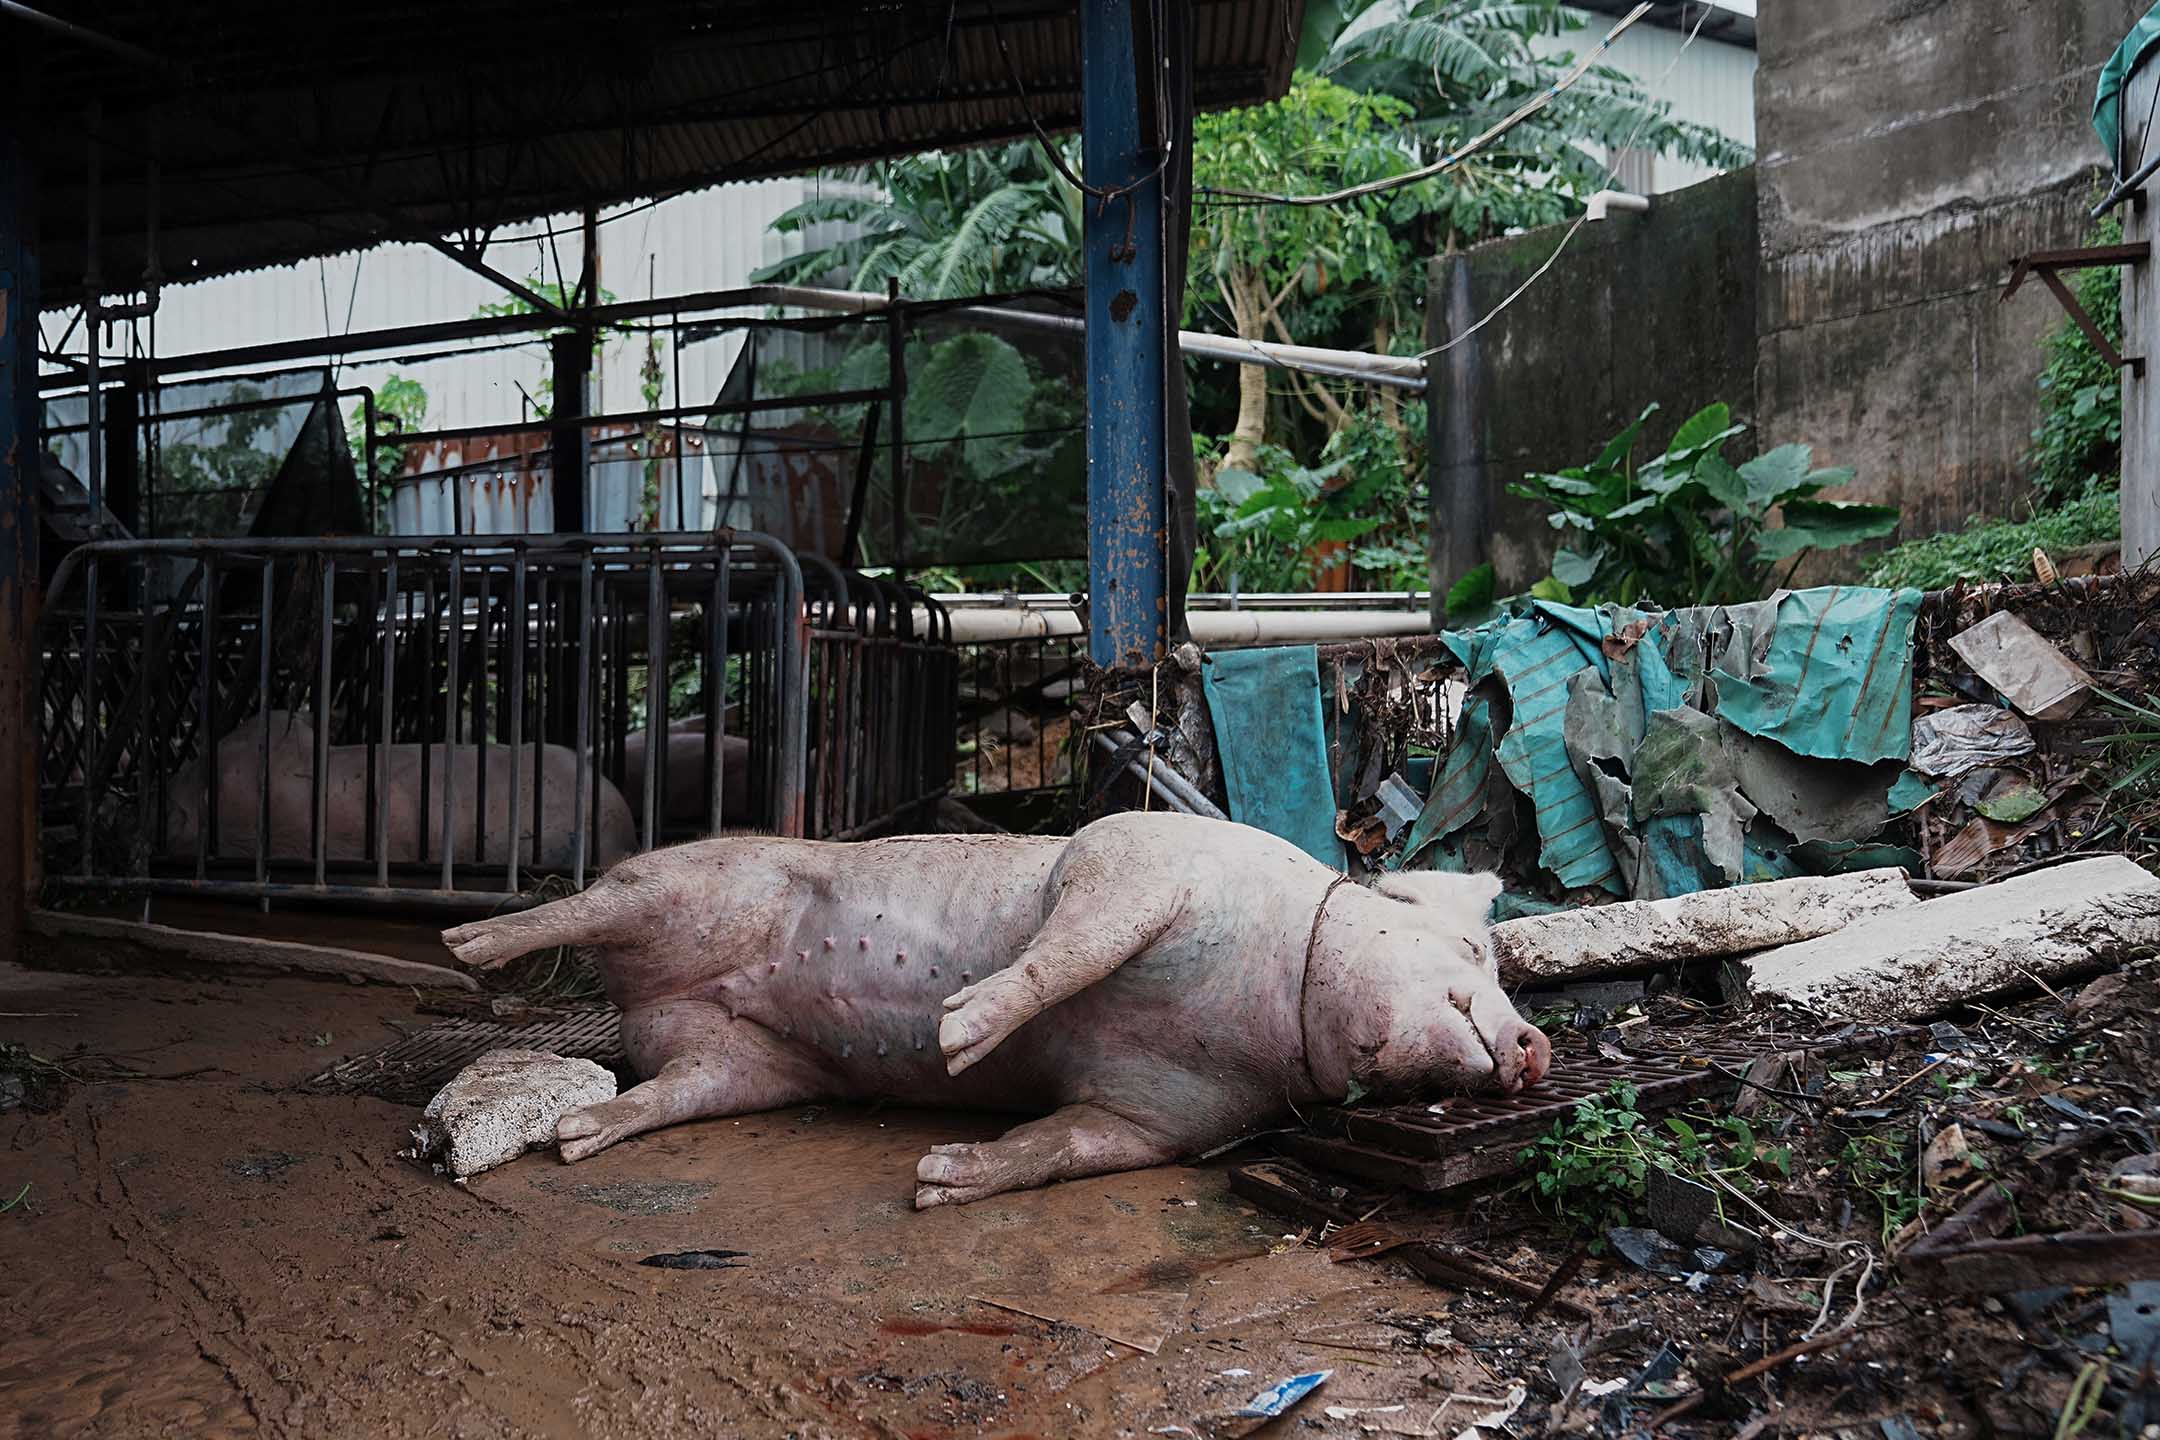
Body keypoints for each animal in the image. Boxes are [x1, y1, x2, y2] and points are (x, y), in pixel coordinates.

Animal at [442, 816, 1555, 1208]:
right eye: (1472, 954)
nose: (1537, 1045)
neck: (1274, 1002)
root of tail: (637, 998)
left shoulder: (1169, 1116)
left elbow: (1070, 1144)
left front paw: (941, 1182)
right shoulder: (1136, 857)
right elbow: (1071, 949)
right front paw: (958, 1036)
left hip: (741, 1065)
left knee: (668, 1086)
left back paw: (579, 1137)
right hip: (685, 885)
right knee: (586, 903)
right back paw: (461, 948)